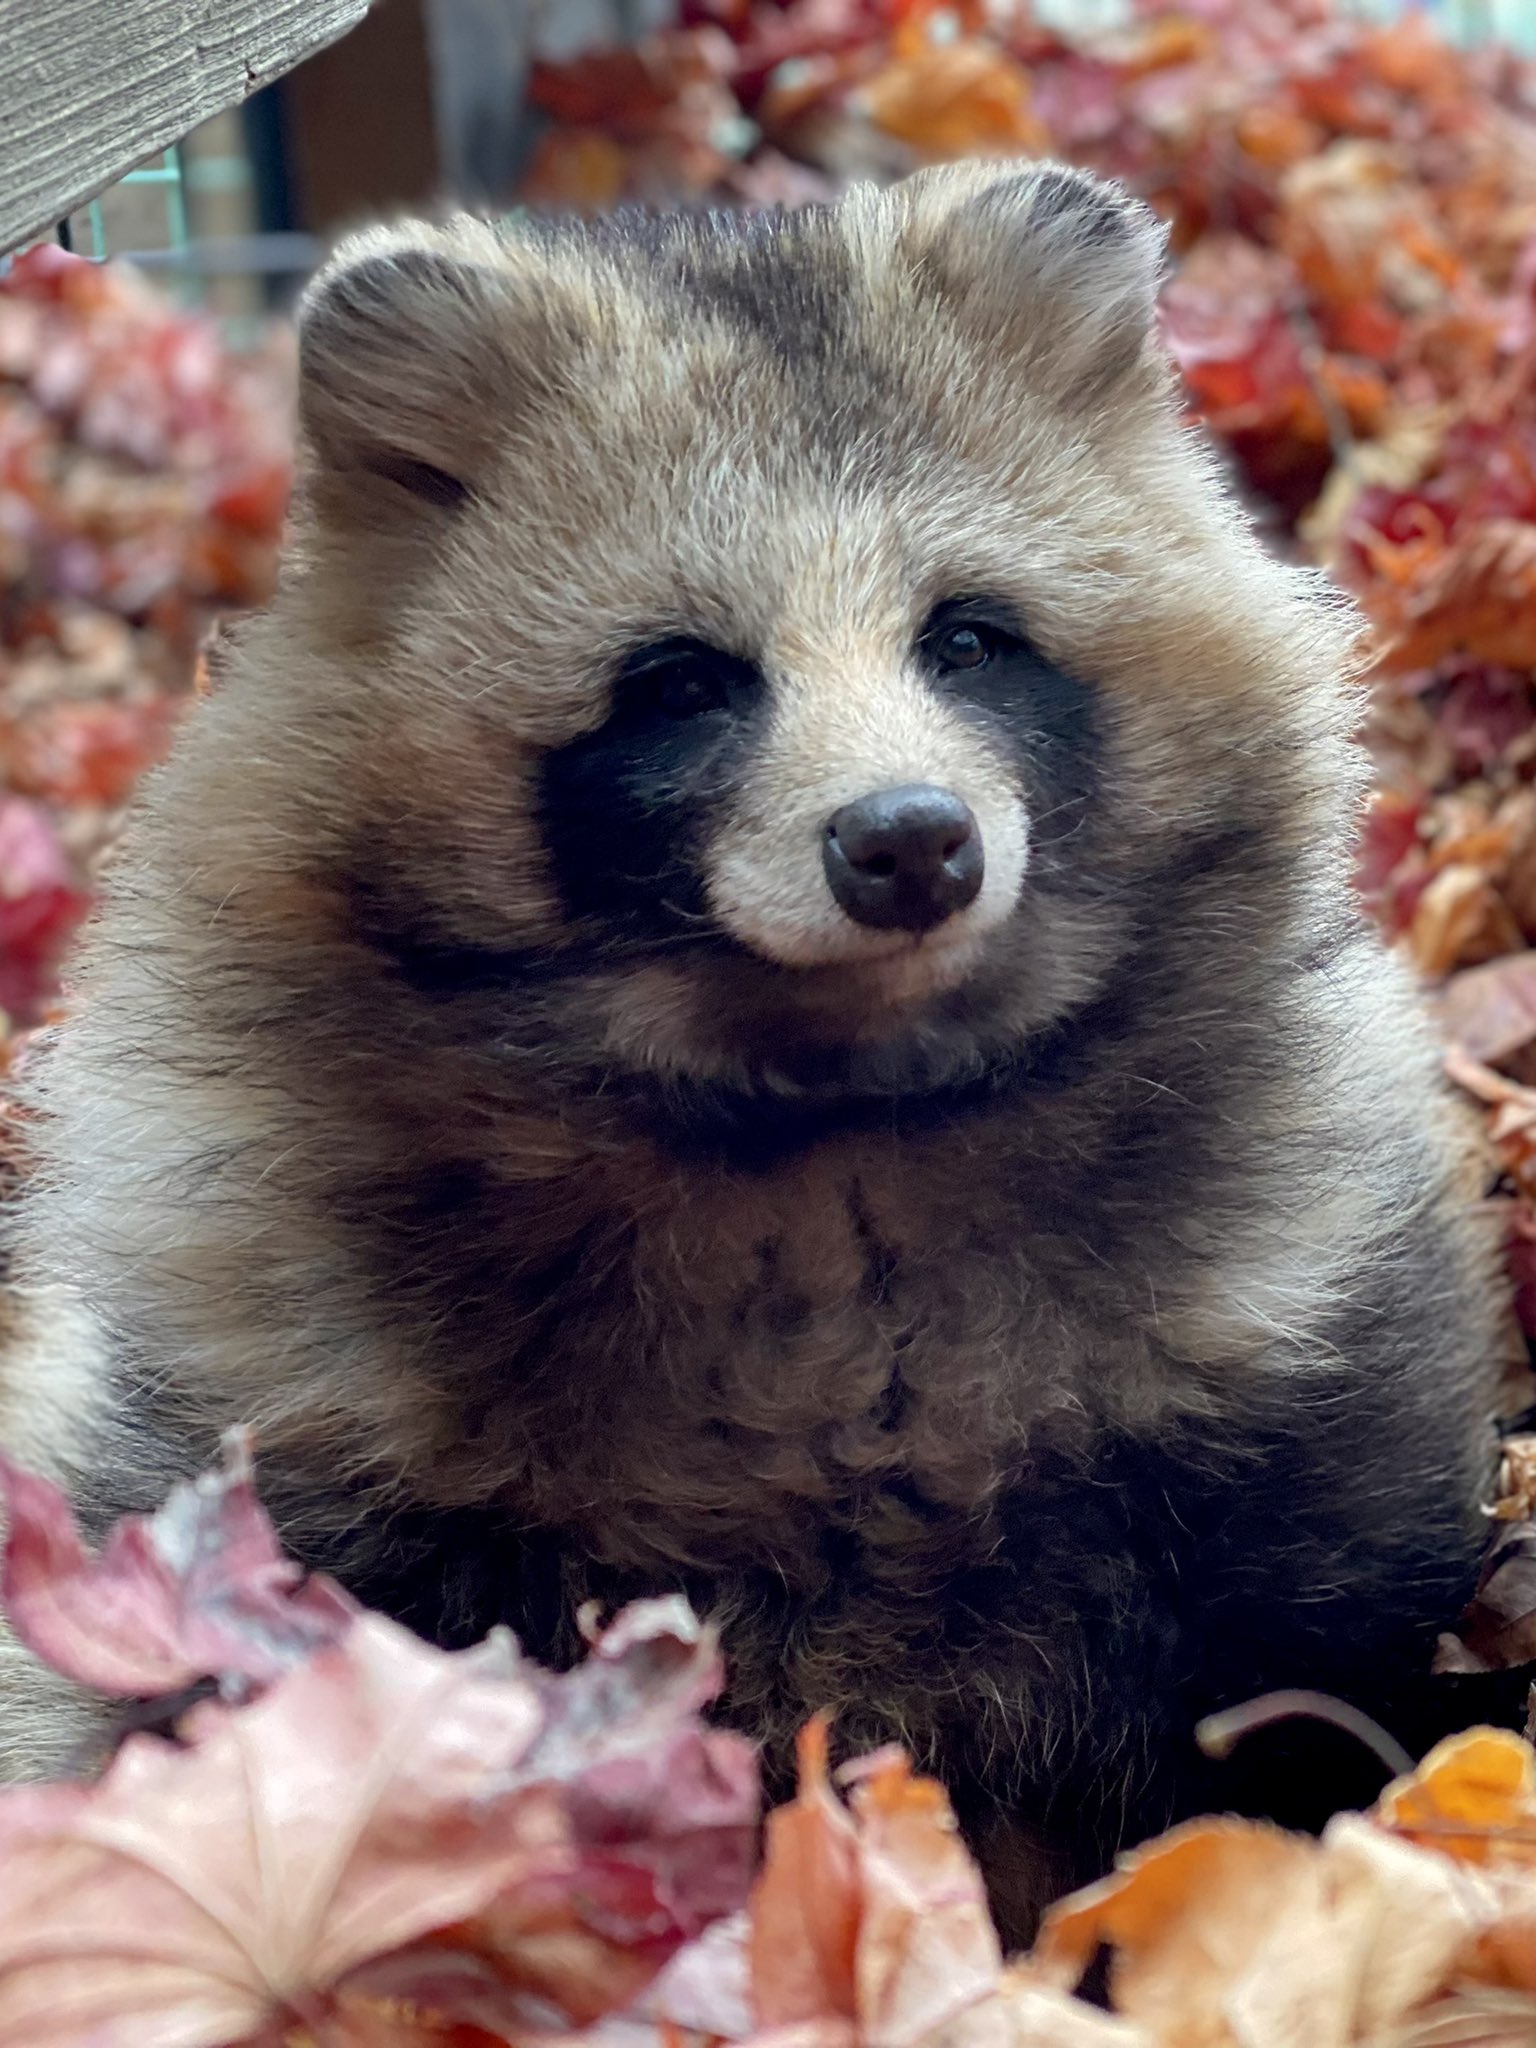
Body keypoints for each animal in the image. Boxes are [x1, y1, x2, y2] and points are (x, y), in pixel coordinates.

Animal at [0, 159, 1515, 1933]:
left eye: (969, 638)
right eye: (681, 682)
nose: (910, 845)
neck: (828, 1097)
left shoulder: (1291, 1318)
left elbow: (1296, 1668)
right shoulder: (288, 1417)